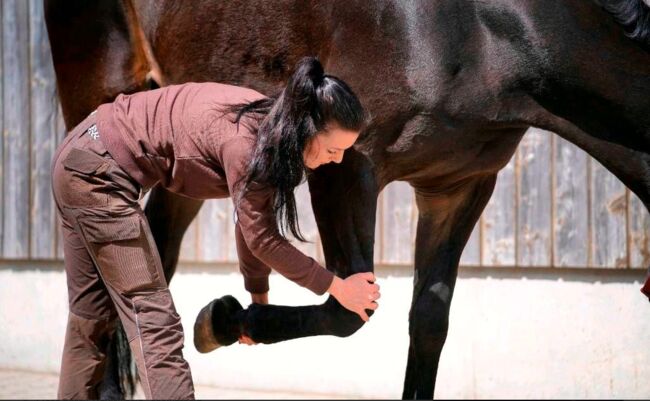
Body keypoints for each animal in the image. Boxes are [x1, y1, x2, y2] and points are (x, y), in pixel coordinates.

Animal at [43, 1, 644, 398]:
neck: (479, 29)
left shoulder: (459, 186)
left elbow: (430, 319)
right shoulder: (347, 166)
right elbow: (347, 308)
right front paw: (222, 319)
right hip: (99, 100)